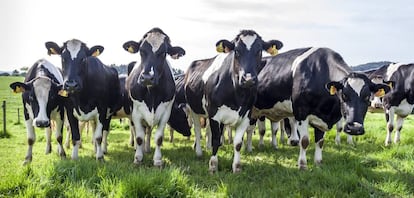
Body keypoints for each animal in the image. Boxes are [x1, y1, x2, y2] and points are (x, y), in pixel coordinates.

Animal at [122, 27, 185, 167]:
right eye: (141, 50)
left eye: (164, 53)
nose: (147, 77)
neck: (152, 93)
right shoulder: (136, 113)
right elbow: (139, 137)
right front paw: (138, 158)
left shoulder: (165, 113)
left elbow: (159, 138)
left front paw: (157, 160)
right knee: (136, 131)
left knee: (149, 131)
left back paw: (147, 149)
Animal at [185, 29, 284, 173]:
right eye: (236, 51)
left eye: (259, 51)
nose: (248, 79)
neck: (237, 96)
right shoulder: (214, 114)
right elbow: (216, 140)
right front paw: (213, 165)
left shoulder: (246, 115)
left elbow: (238, 143)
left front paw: (237, 167)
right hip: (193, 109)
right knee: (197, 129)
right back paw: (198, 151)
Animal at [249, 47, 392, 169]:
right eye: (344, 95)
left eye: (368, 97)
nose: (355, 128)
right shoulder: (301, 112)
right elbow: (304, 141)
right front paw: (302, 165)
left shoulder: (322, 118)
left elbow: (320, 142)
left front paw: (318, 163)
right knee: (251, 130)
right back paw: (250, 148)